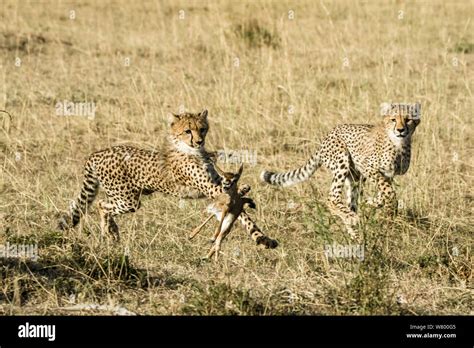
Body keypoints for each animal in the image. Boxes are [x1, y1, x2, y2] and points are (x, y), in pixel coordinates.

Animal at [59, 110, 278, 249]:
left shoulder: (217, 183)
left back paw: (112, 231)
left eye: (202, 129)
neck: (190, 149)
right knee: (102, 205)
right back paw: (108, 231)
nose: (199, 141)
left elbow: (234, 197)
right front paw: (261, 237)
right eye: (187, 131)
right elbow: (237, 208)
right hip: (128, 200)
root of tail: (97, 152)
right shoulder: (210, 188)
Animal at [262, 102, 422, 237]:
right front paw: (390, 209)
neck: (398, 144)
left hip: (355, 177)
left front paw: (371, 202)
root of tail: (330, 133)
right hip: (341, 161)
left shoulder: (388, 174)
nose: (400, 130)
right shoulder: (368, 167)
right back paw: (352, 219)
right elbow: (389, 192)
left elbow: (383, 194)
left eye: (408, 119)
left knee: (350, 202)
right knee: (332, 197)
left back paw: (355, 233)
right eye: (394, 119)